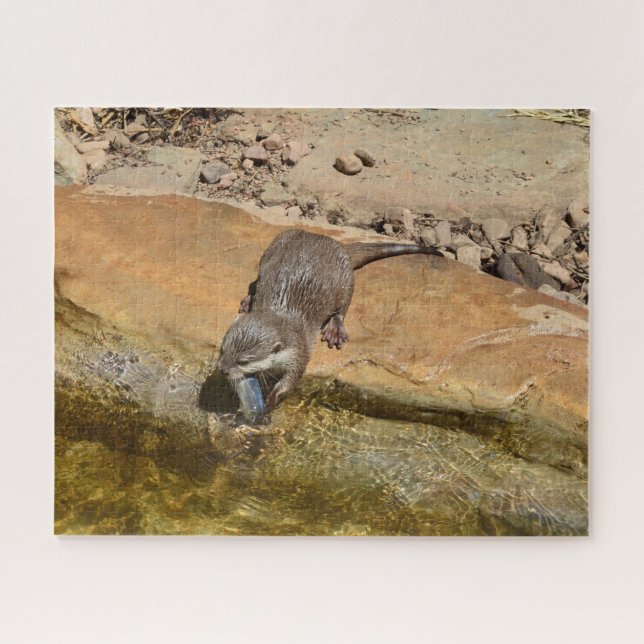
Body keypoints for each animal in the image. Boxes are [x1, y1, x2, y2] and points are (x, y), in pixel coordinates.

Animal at [218, 229, 442, 411]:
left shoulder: (299, 351)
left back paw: (335, 329)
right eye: (222, 350)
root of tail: (337, 244)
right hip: (273, 247)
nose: (222, 369)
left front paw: (272, 398)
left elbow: (292, 378)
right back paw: (249, 300)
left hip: (346, 278)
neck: (280, 314)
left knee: (343, 305)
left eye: (243, 361)